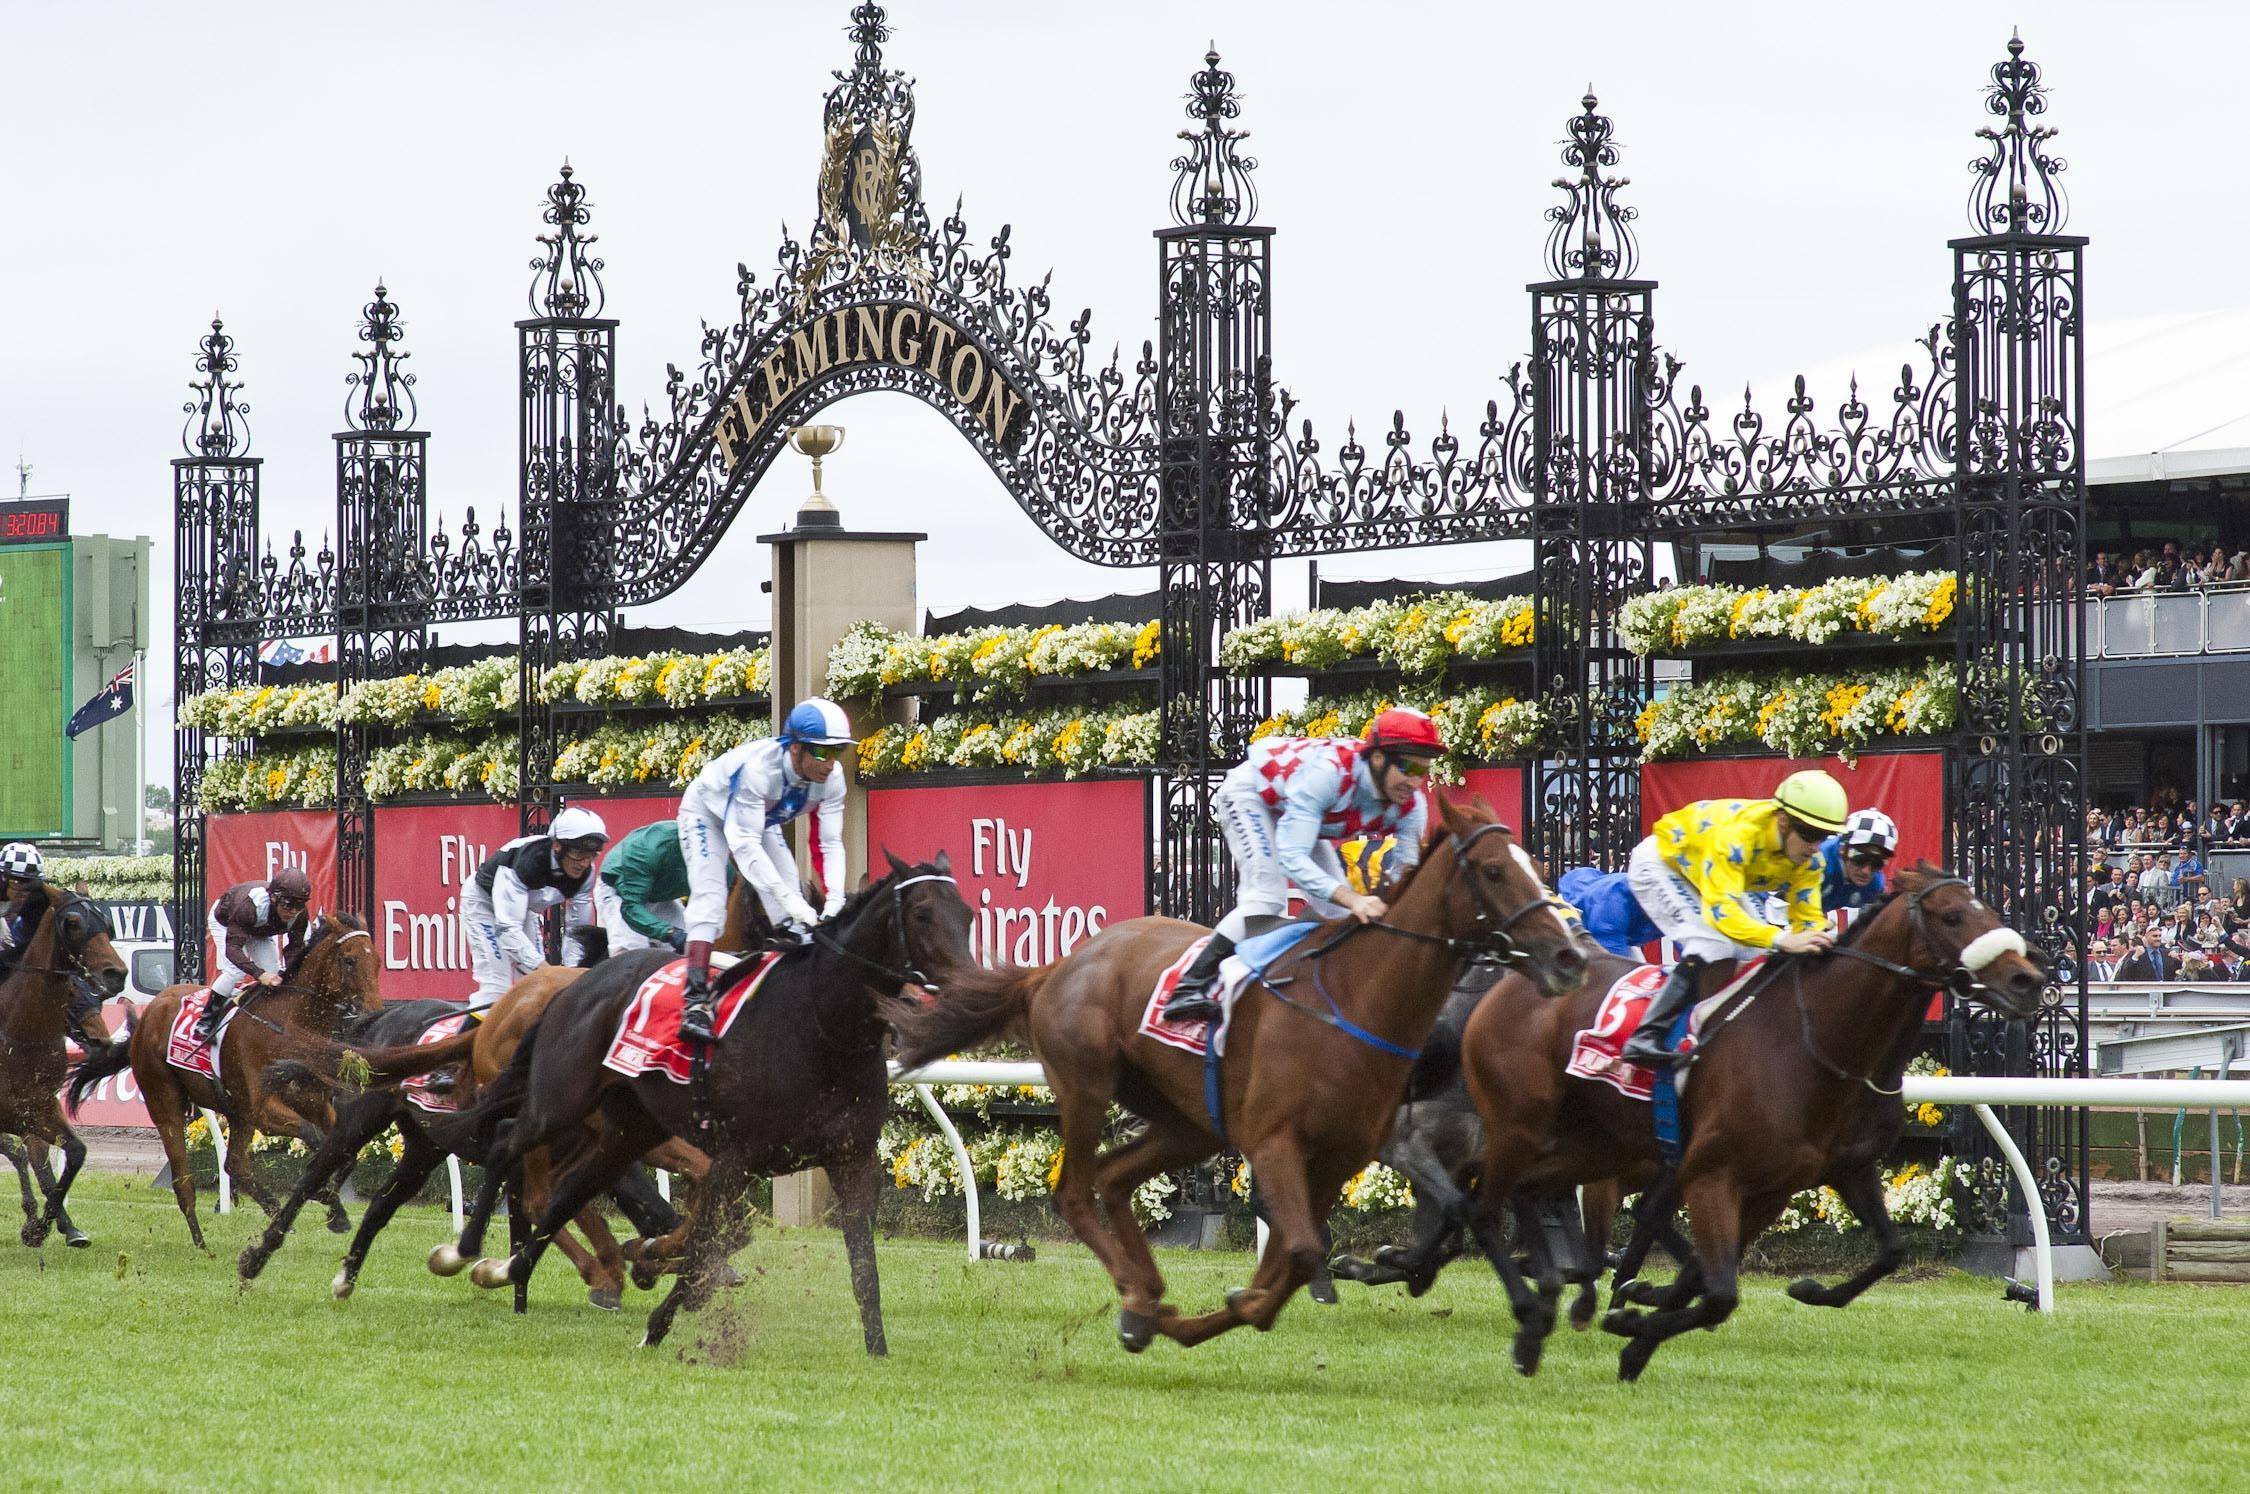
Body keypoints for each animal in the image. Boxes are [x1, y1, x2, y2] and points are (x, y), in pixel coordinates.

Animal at [0, 886, 128, 1251]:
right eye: (72, 923)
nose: (116, 974)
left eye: (106, 922)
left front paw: (44, 1226)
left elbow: (72, 1152)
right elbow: (26, 1154)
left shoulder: (39, 1107)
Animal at [68, 909, 380, 1251]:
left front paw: (336, 1209)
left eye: (377, 960)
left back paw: (272, 1213)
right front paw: (327, 1200)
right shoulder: (264, 1110)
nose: (374, 1012)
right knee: (184, 1178)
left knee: (235, 1165)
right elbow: (315, 1138)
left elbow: (342, 1151)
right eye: (349, 960)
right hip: (166, 1102)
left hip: (236, 1112)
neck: (288, 1025)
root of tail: (149, 1014)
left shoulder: (312, 1102)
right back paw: (201, 1243)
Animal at [434, 850, 972, 1350]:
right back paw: (466, 1254)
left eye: (967, 914)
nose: (965, 987)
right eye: (922, 914)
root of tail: (563, 987)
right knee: (510, 1146)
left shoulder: (851, 1158)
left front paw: (877, 1349)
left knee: (568, 1191)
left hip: (629, 1129)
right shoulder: (733, 1157)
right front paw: (657, 1302)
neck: (821, 1025)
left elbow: (858, 1266)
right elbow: (712, 1239)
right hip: (560, 1103)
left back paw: (520, 1268)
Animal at [882, 801, 1584, 1359]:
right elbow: (1300, 1255)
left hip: (1192, 1122)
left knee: (1114, 1179)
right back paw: (1139, 1296)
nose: (1568, 956)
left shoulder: (1338, 1157)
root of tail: (1056, 967)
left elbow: (1294, 1261)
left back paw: (1144, 1298)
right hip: (1086, 1086)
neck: (1355, 1000)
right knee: (1076, 1192)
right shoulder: (1275, 1142)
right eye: (1494, 870)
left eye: (1531, 862)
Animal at [1458, 864, 2061, 1377]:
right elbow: (1719, 1293)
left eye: (1988, 909)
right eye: (1953, 916)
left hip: (1588, 1146)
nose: (2028, 979)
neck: (1811, 1042)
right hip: (1529, 1128)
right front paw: (1634, 1326)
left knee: (1526, 1192)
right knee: (1490, 1197)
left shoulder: (1816, 1175)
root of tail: (1511, 983)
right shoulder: (1711, 1175)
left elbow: (1889, 1251)